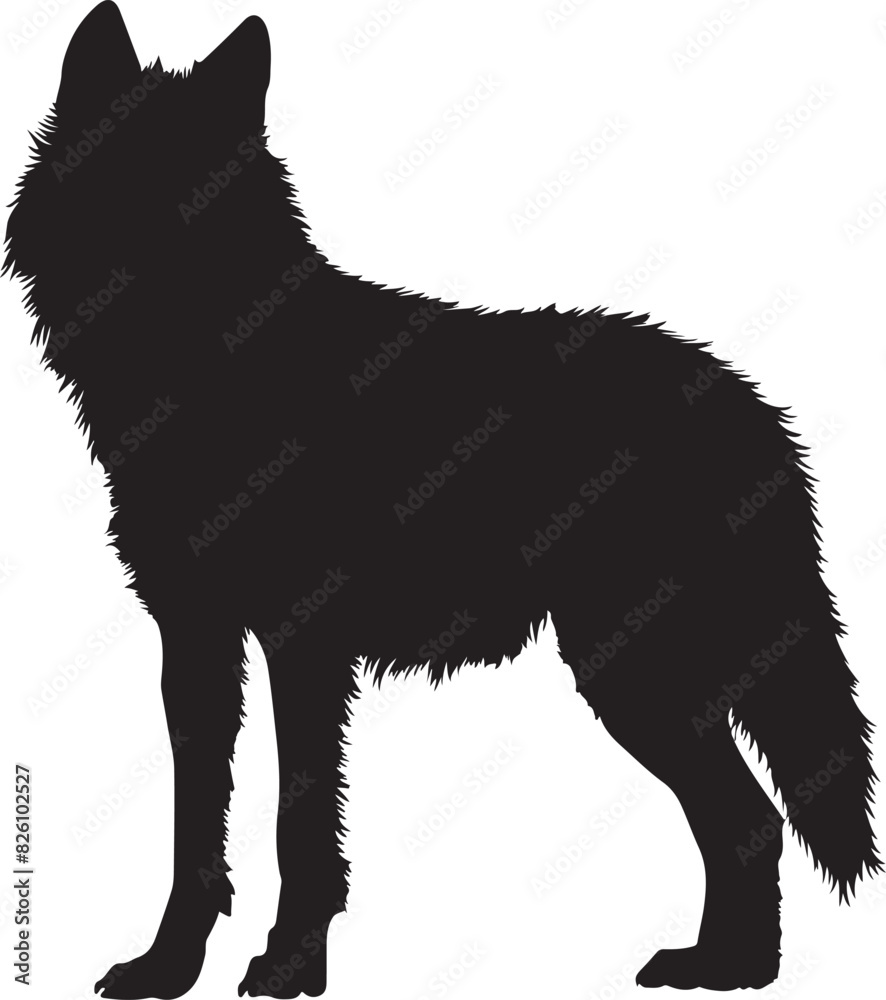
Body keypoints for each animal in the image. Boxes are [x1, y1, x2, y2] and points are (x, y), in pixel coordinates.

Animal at [5, 3, 880, 997]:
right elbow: (195, 825)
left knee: (751, 818)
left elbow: (298, 825)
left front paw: (290, 963)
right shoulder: (196, 642)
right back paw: (727, 964)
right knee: (749, 821)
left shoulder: (304, 644)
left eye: (204, 198)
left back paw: (733, 967)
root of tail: (750, 402)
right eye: (121, 178)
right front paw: (167, 966)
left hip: (629, 670)